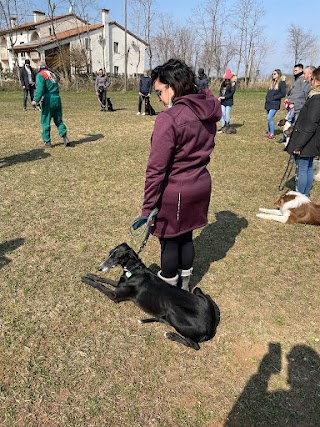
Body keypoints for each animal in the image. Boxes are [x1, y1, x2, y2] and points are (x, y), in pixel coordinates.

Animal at [81, 244, 220, 352]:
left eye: (117, 256)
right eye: (110, 253)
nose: (99, 268)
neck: (134, 269)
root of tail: (211, 327)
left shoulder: (115, 296)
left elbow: (100, 286)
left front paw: (86, 279)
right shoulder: (119, 285)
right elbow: (104, 280)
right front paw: (91, 275)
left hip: (173, 311)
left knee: (194, 345)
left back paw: (170, 335)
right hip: (199, 292)